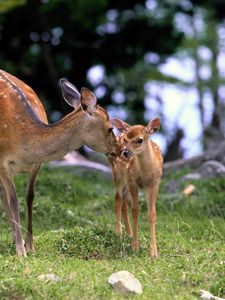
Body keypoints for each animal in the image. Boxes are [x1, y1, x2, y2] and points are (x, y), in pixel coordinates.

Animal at [0, 69, 118, 255]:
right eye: (110, 128)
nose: (120, 149)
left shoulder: (36, 164)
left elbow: (29, 197)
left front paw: (30, 245)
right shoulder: (3, 161)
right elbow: (13, 200)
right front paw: (21, 251)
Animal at [108, 117, 163, 258]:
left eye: (139, 140)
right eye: (126, 139)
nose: (125, 152)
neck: (145, 173)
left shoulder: (154, 183)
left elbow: (152, 214)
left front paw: (154, 252)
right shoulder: (133, 181)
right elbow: (135, 211)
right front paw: (134, 247)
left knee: (123, 202)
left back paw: (129, 233)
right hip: (119, 176)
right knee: (117, 199)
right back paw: (119, 233)